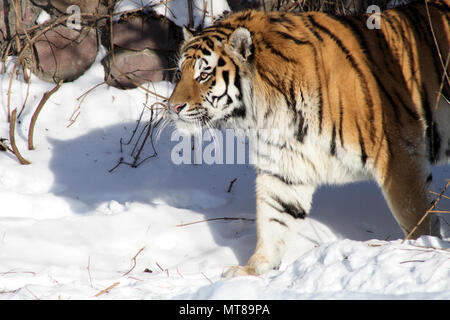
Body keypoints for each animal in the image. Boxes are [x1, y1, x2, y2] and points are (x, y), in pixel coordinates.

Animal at [166, 0, 450, 276]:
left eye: (204, 75)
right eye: (180, 74)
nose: (173, 107)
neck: (267, 112)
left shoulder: (399, 153)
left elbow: (415, 215)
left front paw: (420, 248)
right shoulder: (283, 167)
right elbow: (273, 219)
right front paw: (254, 269)